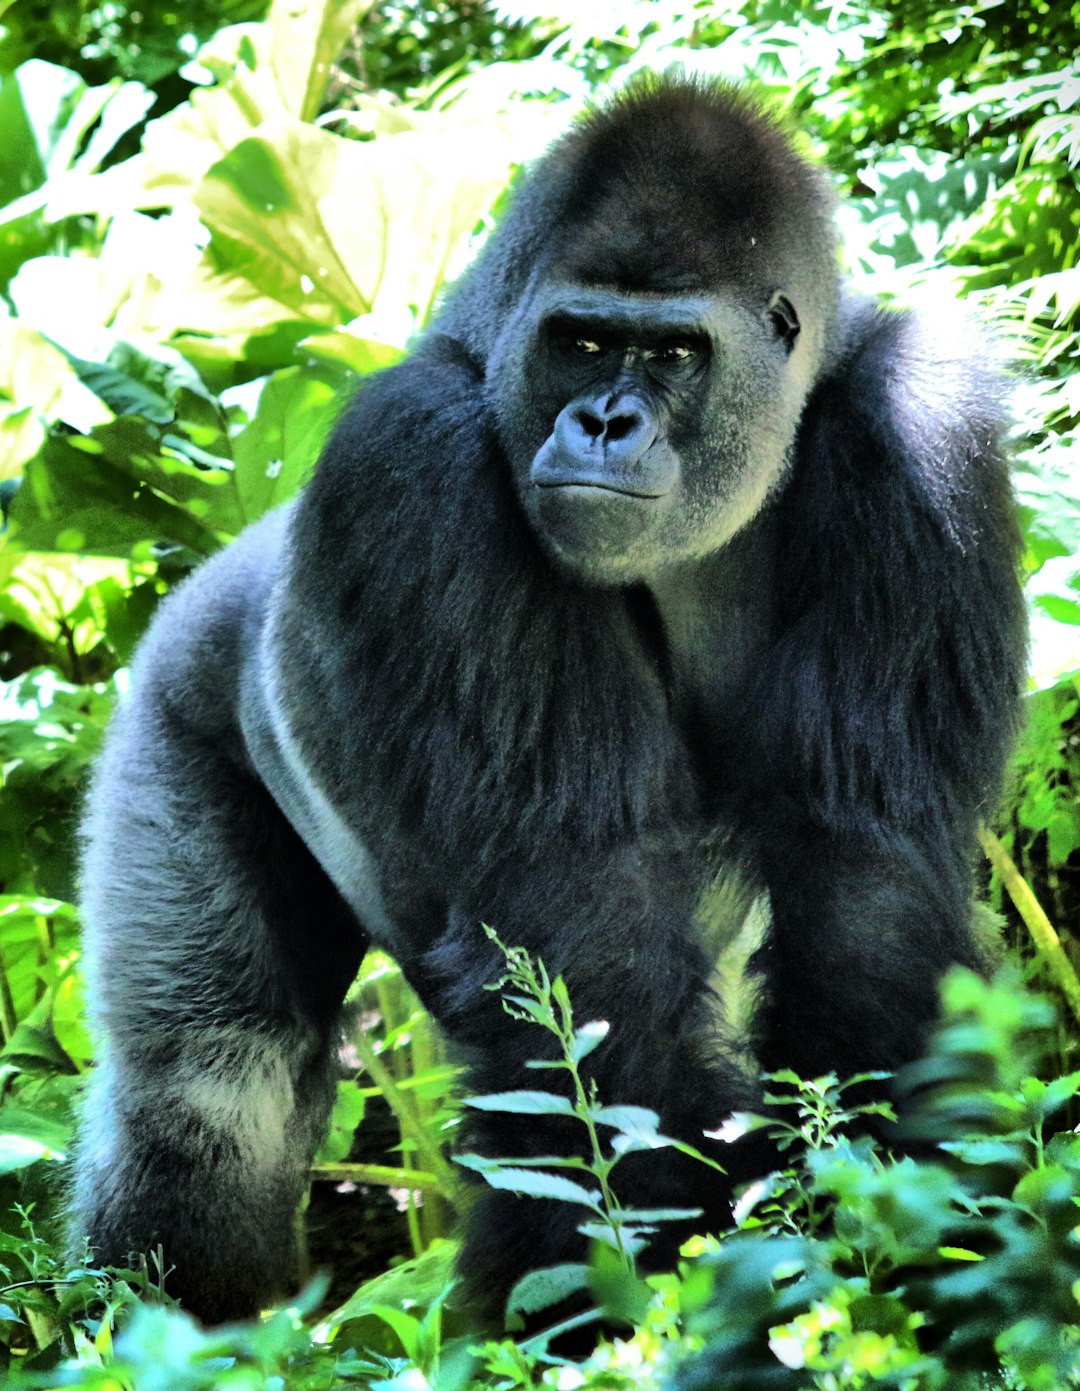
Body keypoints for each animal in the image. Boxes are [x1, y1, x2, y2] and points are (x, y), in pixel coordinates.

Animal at [71, 78, 1024, 1324]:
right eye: (581, 342)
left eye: (673, 351)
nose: (606, 421)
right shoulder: (410, 458)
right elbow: (586, 927)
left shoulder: (923, 422)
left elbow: (868, 870)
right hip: (171, 702)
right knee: (210, 1085)